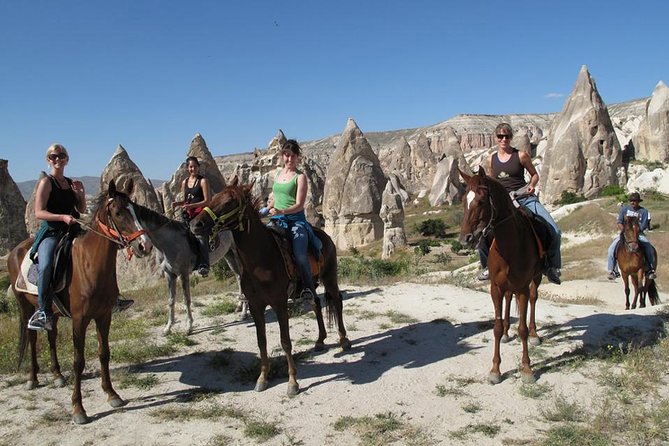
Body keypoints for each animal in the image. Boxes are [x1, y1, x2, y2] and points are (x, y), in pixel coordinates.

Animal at [6, 179, 153, 424]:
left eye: (135, 210)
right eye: (118, 212)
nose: (145, 246)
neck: (89, 266)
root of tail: (15, 250)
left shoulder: (104, 316)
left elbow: (104, 354)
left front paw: (112, 394)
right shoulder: (79, 319)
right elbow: (79, 361)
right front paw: (78, 409)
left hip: (51, 312)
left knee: (51, 336)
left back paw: (57, 375)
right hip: (25, 306)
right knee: (32, 338)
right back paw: (32, 378)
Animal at [130, 200, 248, 332]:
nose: (140, 248)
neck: (168, 242)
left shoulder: (183, 273)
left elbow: (186, 299)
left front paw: (189, 326)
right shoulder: (169, 274)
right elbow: (171, 300)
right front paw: (168, 328)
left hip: (237, 254)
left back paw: (244, 313)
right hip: (229, 255)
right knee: (238, 277)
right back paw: (240, 306)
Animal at [190, 179, 352, 396]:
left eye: (230, 201)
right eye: (214, 197)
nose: (195, 224)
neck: (260, 260)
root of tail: (324, 235)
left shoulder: (279, 304)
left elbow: (285, 342)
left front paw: (292, 382)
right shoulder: (256, 305)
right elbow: (262, 342)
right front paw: (262, 378)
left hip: (329, 277)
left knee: (337, 301)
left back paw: (344, 340)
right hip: (312, 284)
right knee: (317, 304)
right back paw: (320, 340)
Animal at [460, 169, 544, 386]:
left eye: (481, 201)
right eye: (463, 200)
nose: (465, 239)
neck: (510, 244)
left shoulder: (522, 287)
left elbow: (522, 328)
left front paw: (527, 369)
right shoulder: (495, 288)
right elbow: (496, 328)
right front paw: (495, 370)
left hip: (537, 277)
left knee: (533, 299)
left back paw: (535, 334)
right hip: (507, 285)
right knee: (508, 299)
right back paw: (507, 332)